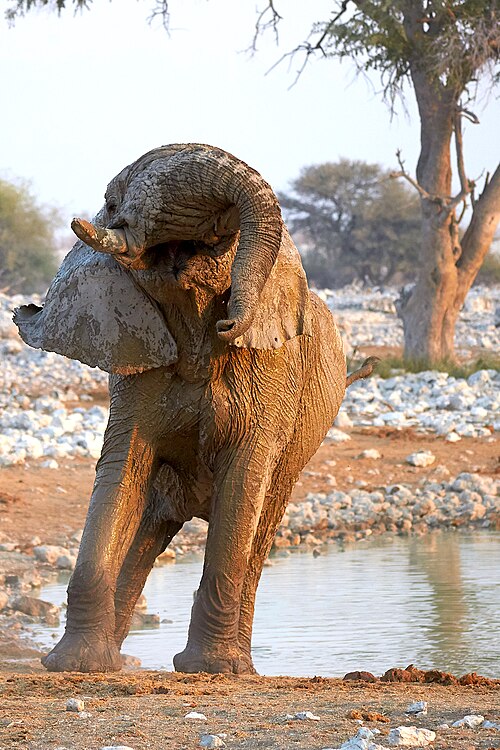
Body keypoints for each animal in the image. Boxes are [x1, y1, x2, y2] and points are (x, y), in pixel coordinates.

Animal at [14, 143, 371, 675]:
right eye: (111, 201)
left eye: (222, 238)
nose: (230, 323)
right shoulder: (133, 363)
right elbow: (121, 468)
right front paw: (75, 665)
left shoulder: (273, 373)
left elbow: (244, 478)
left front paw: (210, 669)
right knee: (148, 527)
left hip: (296, 458)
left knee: (259, 533)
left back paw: (240, 667)